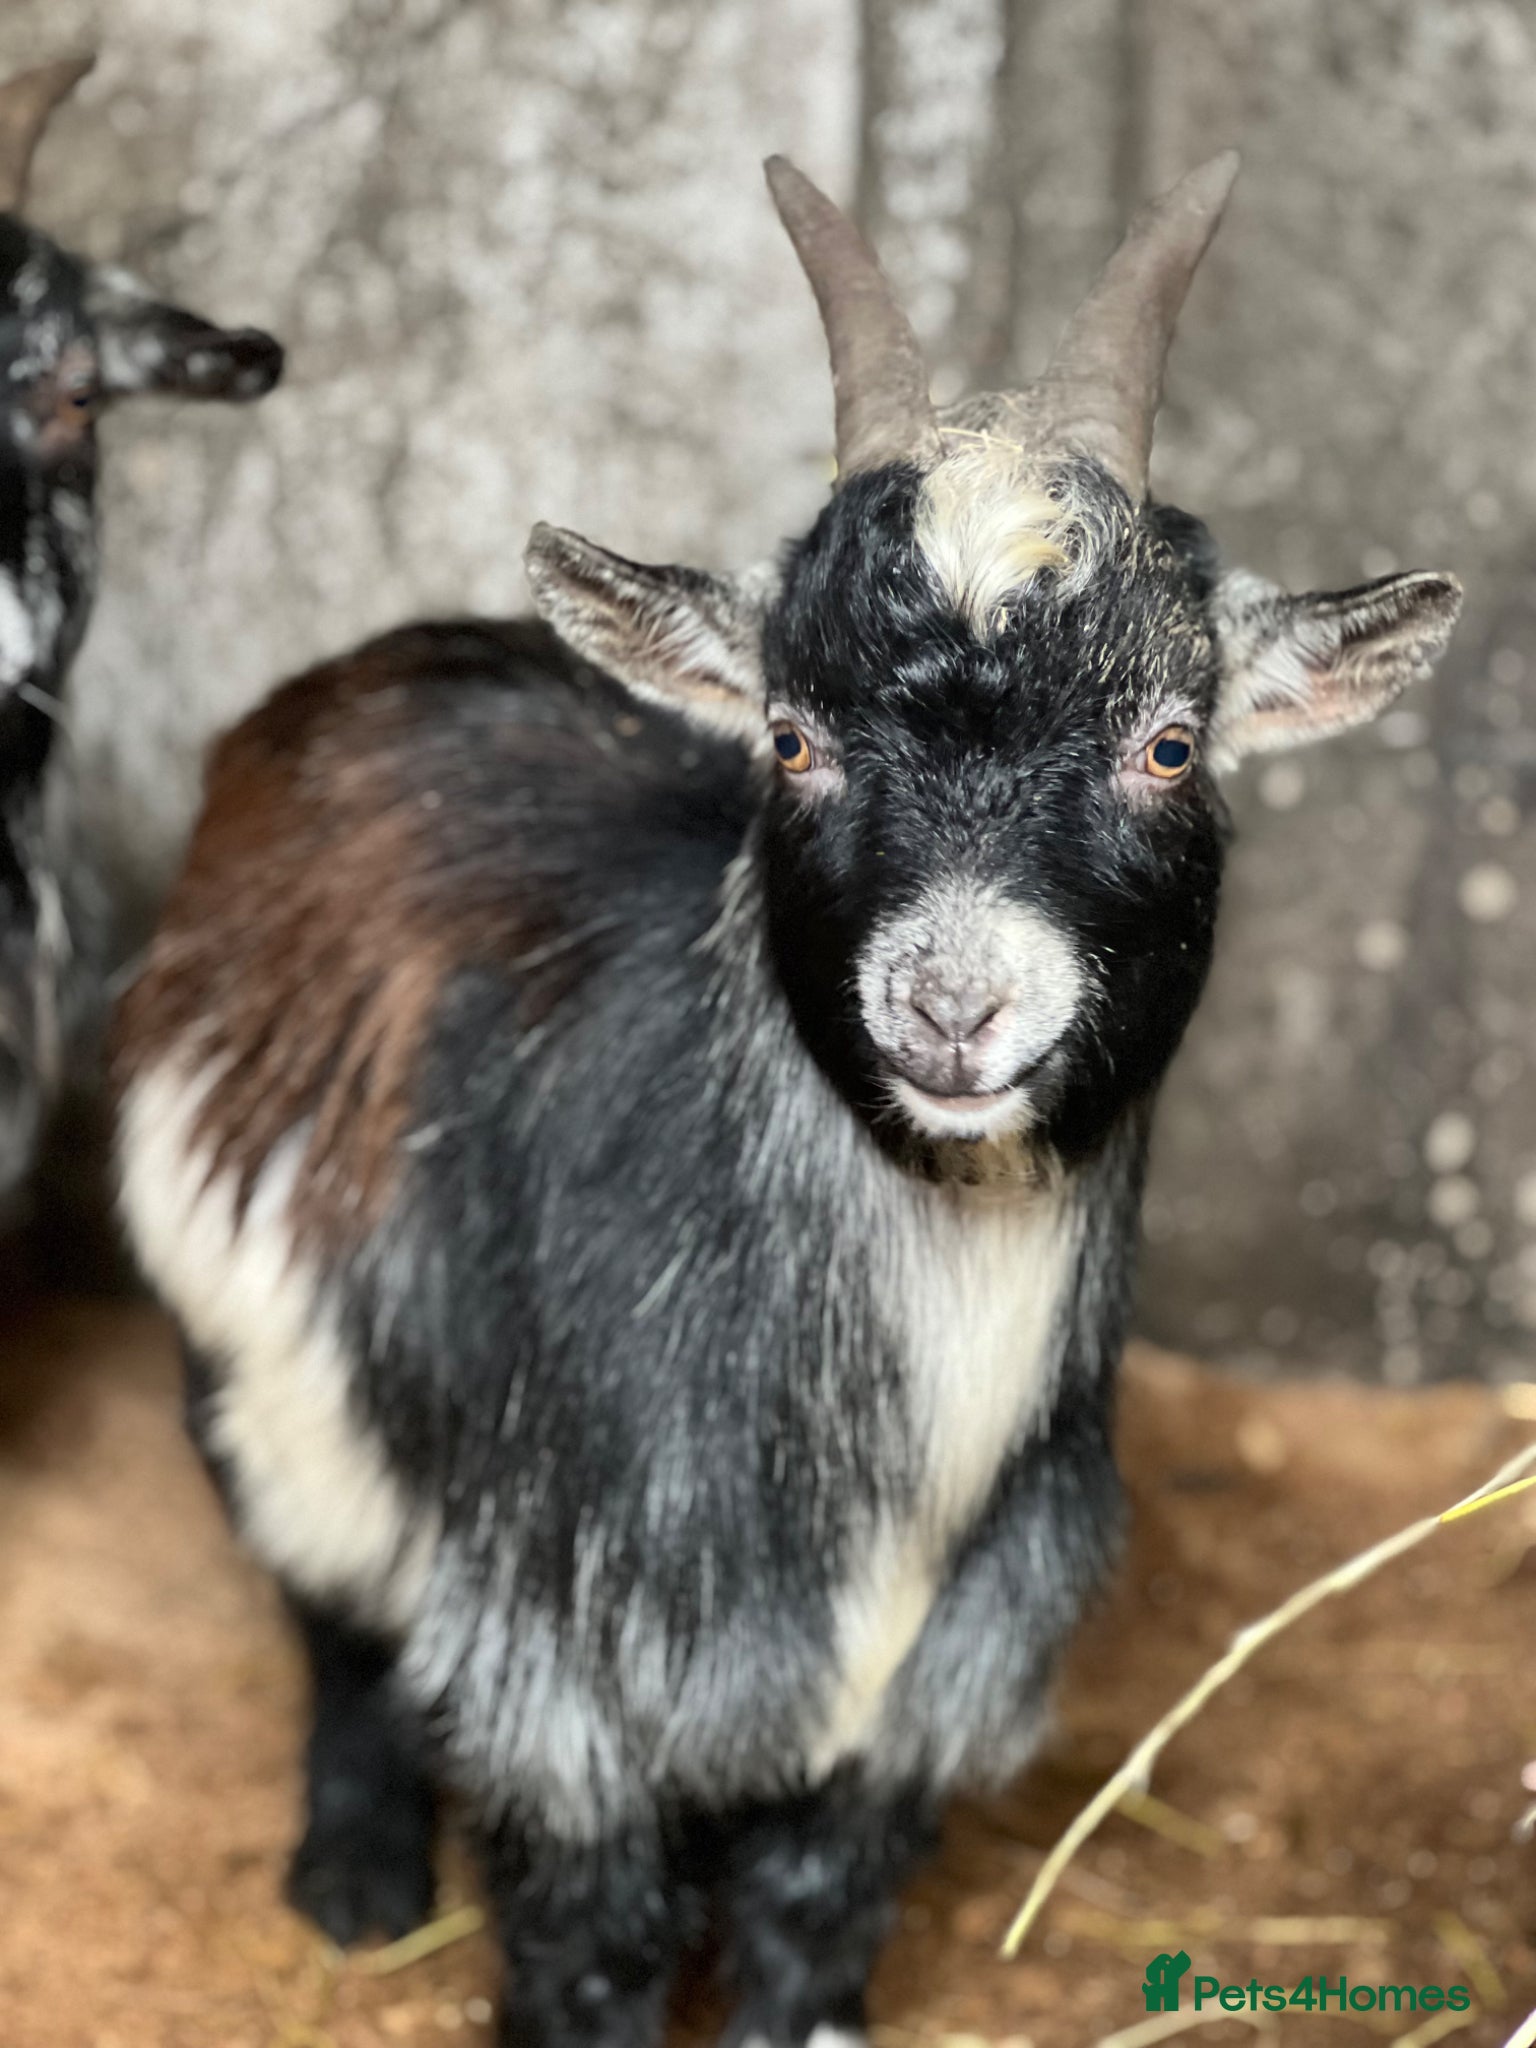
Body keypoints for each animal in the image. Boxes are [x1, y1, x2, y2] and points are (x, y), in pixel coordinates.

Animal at [113, 153, 1460, 2048]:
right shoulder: (563, 1661)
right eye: (792, 735)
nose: (952, 1006)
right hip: (251, 1367)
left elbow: (812, 1925)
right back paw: (360, 1879)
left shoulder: (925, 1690)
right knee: (329, 1614)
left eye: (1173, 742)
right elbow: (590, 1942)